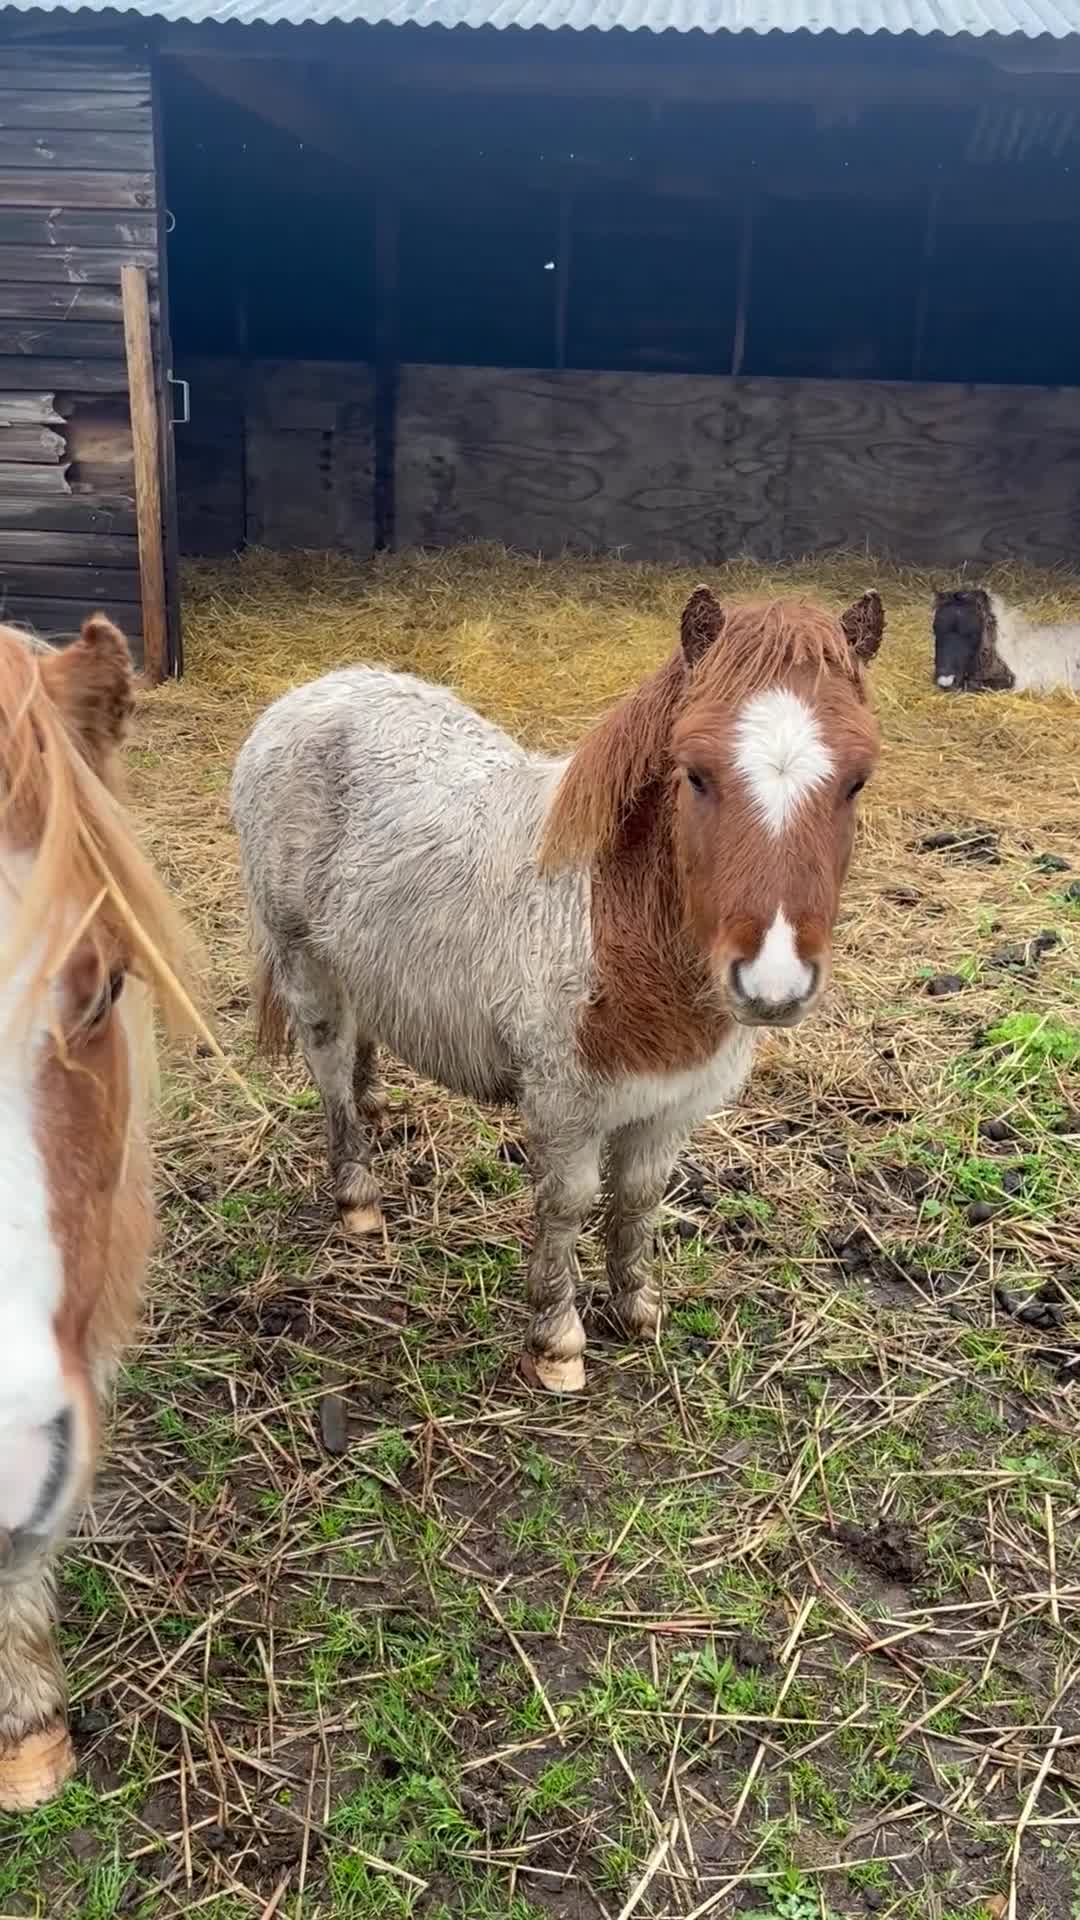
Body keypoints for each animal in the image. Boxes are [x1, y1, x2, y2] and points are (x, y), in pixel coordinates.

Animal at [231, 585, 885, 1394]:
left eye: (857, 779)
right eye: (696, 773)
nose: (773, 981)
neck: (611, 921)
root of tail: (312, 693)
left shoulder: (672, 1107)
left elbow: (638, 1201)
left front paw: (635, 1309)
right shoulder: (564, 1105)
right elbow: (567, 1206)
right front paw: (557, 1342)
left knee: (361, 1042)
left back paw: (376, 1105)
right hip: (304, 962)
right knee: (327, 1068)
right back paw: (356, 1196)